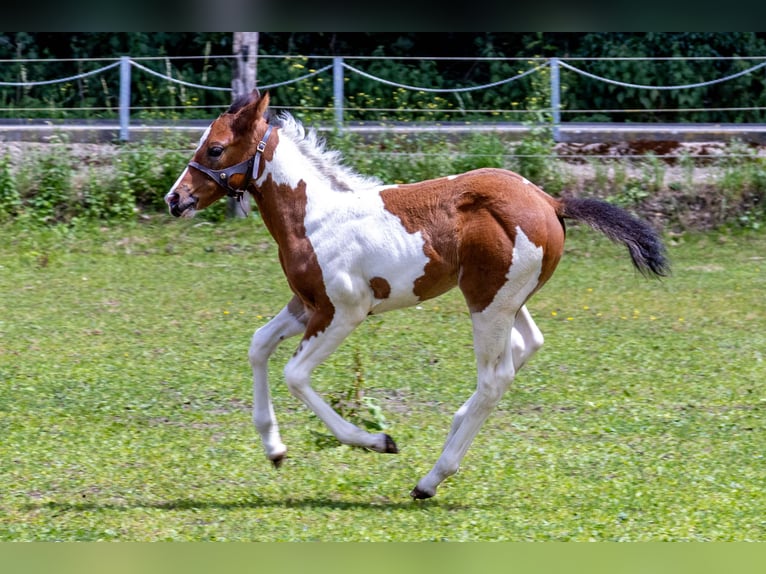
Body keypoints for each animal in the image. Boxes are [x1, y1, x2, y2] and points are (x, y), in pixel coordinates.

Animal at [165, 89, 669, 499]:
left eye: (214, 148)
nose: (175, 199)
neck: (315, 216)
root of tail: (551, 201)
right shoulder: (306, 305)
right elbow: (258, 345)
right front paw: (274, 448)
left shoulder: (343, 311)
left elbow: (295, 376)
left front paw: (377, 441)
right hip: (506, 300)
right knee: (528, 345)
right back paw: (456, 425)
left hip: (487, 303)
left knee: (495, 378)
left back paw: (431, 479)